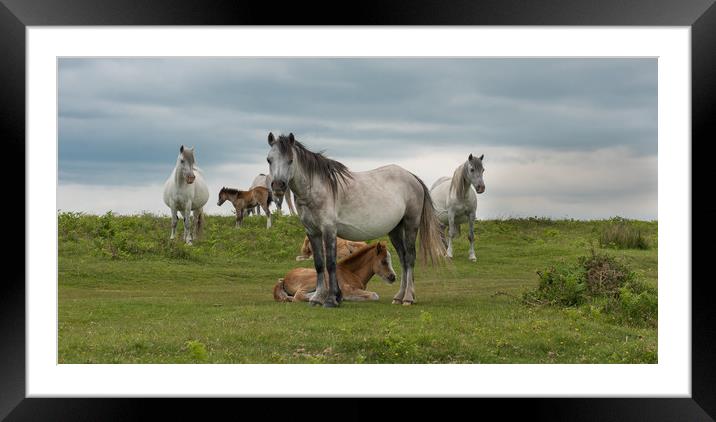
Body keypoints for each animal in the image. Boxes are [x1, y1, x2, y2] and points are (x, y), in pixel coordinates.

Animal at [266, 132, 444, 306]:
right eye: (269, 159)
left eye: (290, 160)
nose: (278, 186)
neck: (317, 189)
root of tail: (412, 177)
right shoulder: (312, 232)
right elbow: (319, 264)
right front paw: (318, 298)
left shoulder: (329, 230)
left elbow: (330, 263)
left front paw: (331, 300)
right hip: (395, 230)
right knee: (403, 258)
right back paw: (399, 297)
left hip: (410, 225)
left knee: (410, 258)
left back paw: (407, 298)